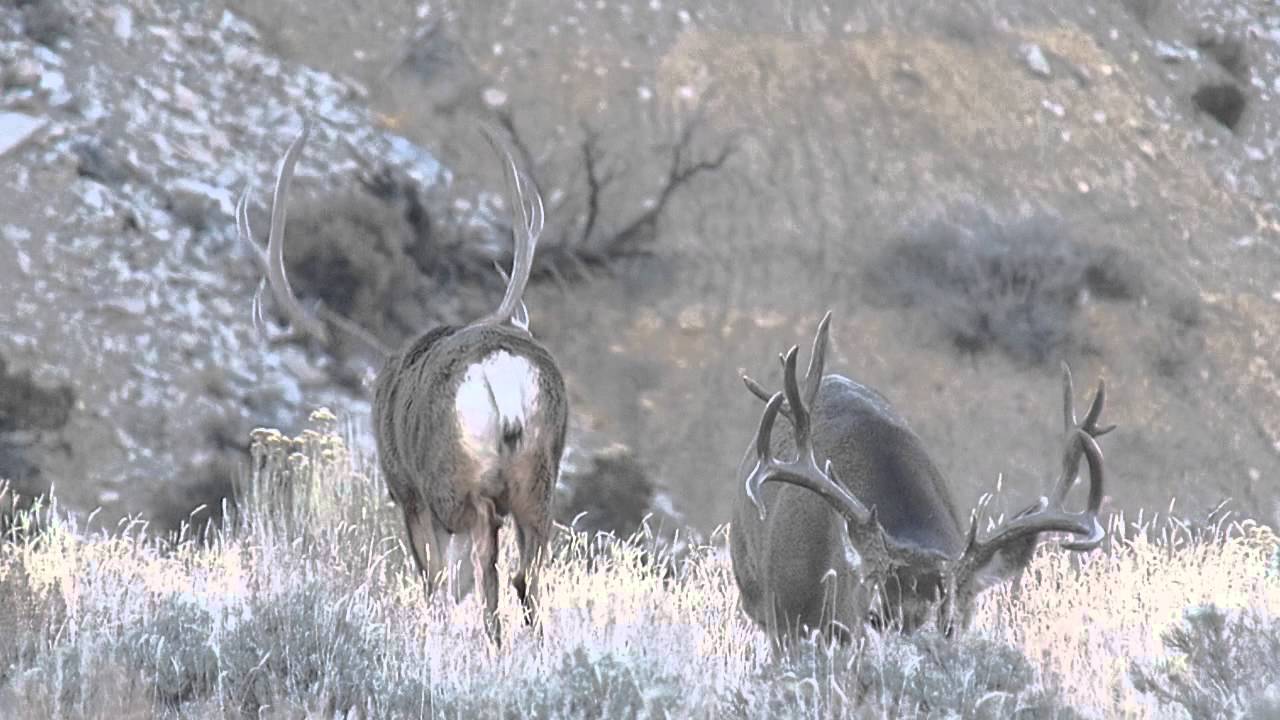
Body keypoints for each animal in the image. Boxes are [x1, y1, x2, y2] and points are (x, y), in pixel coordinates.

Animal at [237, 122, 568, 645]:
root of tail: (500, 371)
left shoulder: (407, 490)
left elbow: (437, 577)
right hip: (539, 475)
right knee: (526, 570)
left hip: (453, 481)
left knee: (482, 562)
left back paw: (493, 643)